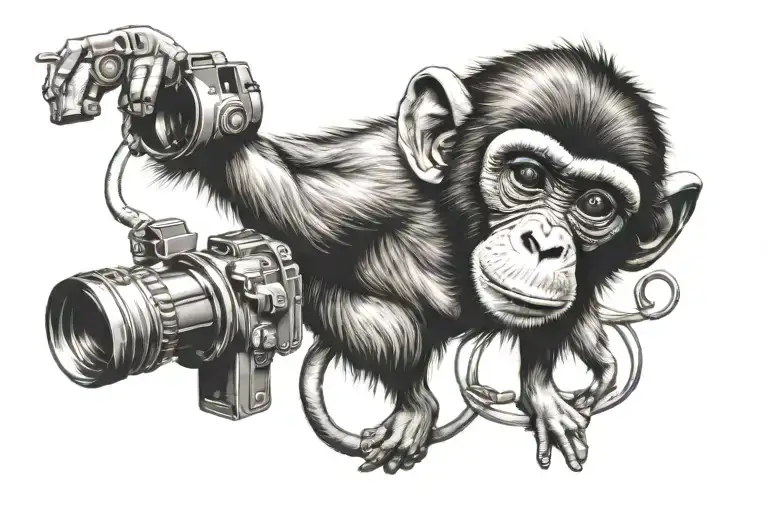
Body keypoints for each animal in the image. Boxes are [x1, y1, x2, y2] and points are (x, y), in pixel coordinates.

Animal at [39, 27, 700, 474]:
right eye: (528, 176)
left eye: (595, 205)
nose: (545, 243)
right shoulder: (364, 191)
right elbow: (280, 189)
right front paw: (159, 74)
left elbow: (553, 323)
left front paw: (541, 389)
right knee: (386, 320)